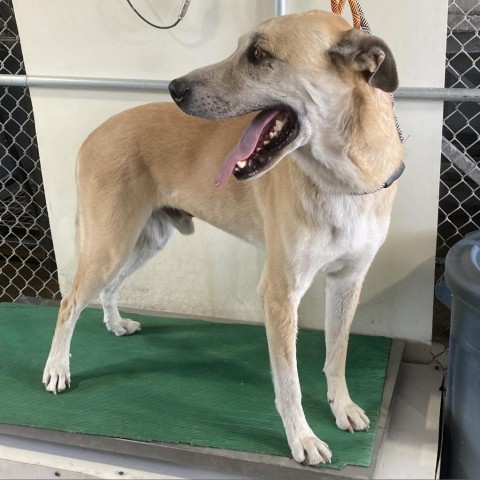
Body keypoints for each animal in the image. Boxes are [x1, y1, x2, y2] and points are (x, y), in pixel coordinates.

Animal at [41, 10, 404, 464]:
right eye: (240, 48)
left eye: (259, 54)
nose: (174, 89)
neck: (342, 180)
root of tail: (95, 133)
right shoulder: (280, 293)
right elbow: (290, 384)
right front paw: (301, 438)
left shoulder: (348, 280)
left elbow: (336, 356)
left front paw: (343, 407)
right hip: (109, 243)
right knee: (70, 302)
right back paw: (57, 368)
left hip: (144, 241)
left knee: (110, 288)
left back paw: (114, 324)